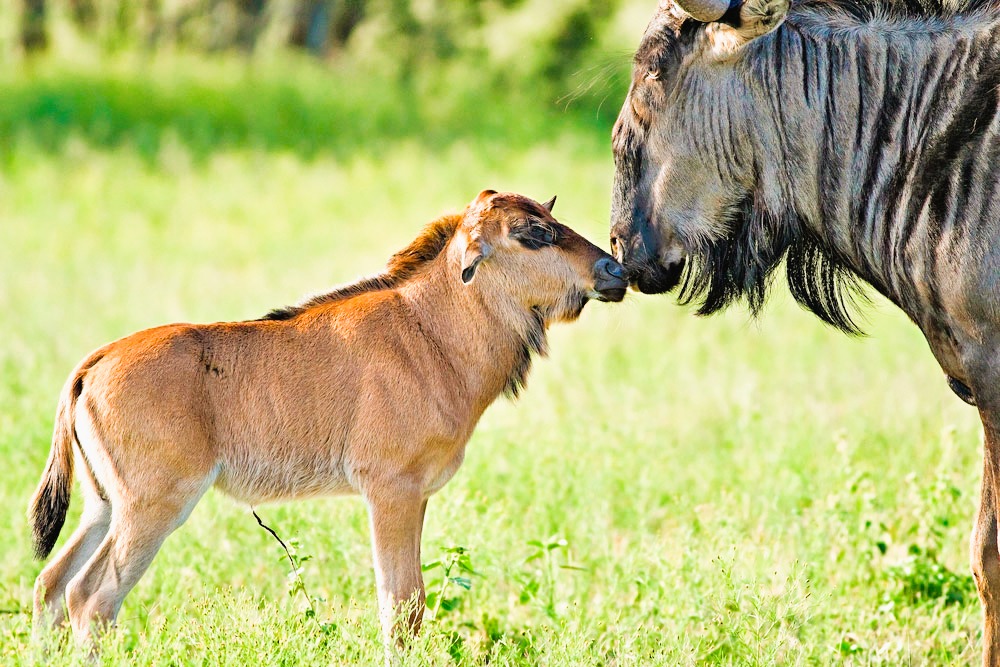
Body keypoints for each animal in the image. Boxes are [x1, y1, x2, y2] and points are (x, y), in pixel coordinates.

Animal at [29, 190, 628, 646]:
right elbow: (401, 608)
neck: (430, 331)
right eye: (532, 232)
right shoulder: (390, 491)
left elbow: (411, 604)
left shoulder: (417, 496)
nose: (614, 269)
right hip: (153, 507)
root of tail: (93, 365)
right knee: (92, 597)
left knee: (50, 584)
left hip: (103, 505)